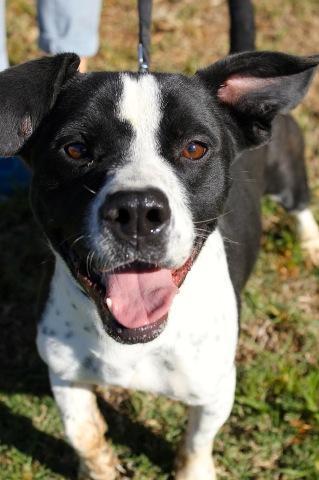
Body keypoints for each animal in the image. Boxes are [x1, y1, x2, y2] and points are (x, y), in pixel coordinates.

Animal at [0, 46, 319, 480]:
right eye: (75, 149)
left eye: (195, 148)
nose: (137, 211)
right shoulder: (64, 372)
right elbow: (82, 431)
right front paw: (98, 468)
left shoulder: (215, 389)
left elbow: (197, 442)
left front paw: (193, 472)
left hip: (289, 176)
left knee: (300, 206)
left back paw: (310, 245)